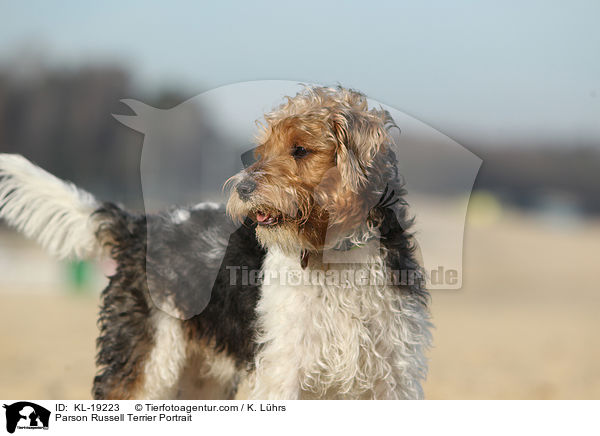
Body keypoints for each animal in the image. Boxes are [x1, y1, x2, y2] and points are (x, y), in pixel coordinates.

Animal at [0, 84, 432, 398]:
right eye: (262, 150)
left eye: (301, 149)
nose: (242, 189)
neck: (335, 257)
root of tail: (140, 226)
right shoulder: (282, 372)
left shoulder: (391, 378)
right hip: (144, 365)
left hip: (200, 378)